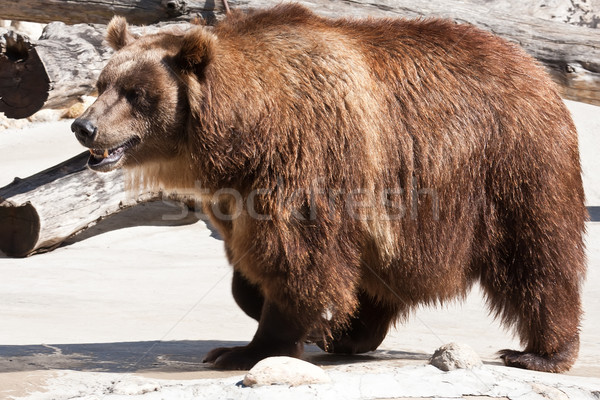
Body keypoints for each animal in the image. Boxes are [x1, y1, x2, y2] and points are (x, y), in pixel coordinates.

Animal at [70, 3, 584, 372]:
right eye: (102, 82)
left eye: (137, 93)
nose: (84, 127)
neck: (243, 133)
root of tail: (534, 68)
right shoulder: (236, 191)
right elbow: (257, 263)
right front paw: (301, 317)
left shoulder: (307, 158)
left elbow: (298, 259)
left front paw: (246, 348)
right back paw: (355, 334)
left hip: (511, 165)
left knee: (538, 255)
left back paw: (540, 353)